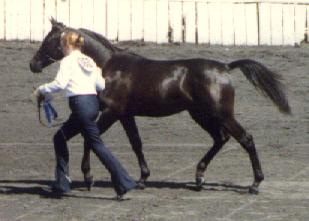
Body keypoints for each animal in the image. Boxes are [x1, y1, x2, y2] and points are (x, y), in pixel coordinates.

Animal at [28, 19, 288, 195]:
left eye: (49, 40)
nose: (33, 64)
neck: (109, 66)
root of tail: (225, 67)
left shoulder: (111, 113)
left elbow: (90, 140)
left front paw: (89, 177)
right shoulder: (125, 115)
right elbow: (136, 143)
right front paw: (142, 179)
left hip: (221, 114)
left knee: (245, 139)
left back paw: (254, 184)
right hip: (201, 115)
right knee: (221, 139)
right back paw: (199, 177)